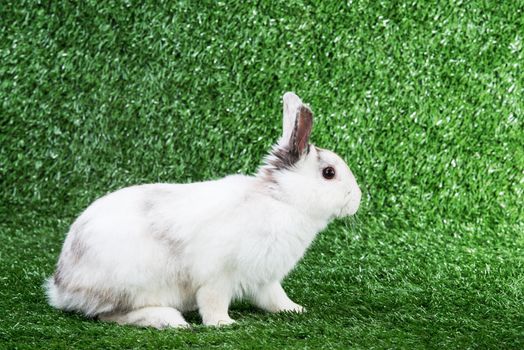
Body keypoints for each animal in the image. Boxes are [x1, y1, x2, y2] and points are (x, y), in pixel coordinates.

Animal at [46, 92, 360, 328]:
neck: (281, 199)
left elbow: (275, 299)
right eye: (329, 173)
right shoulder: (218, 274)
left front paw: (296, 310)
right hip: (133, 284)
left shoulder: (266, 278)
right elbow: (213, 301)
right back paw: (169, 320)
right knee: (110, 315)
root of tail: (62, 286)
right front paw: (224, 324)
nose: (357, 199)